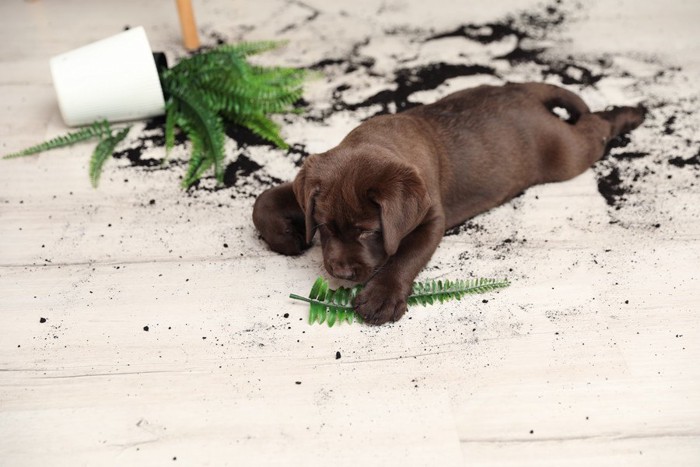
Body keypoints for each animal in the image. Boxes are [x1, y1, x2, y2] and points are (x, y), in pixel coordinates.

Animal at [253, 82, 644, 326]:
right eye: (322, 226)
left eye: (367, 232)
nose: (342, 273)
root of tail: (521, 89)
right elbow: (265, 198)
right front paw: (286, 236)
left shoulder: (430, 219)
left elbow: (406, 256)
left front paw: (381, 297)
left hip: (567, 153)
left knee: (595, 128)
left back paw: (630, 113)